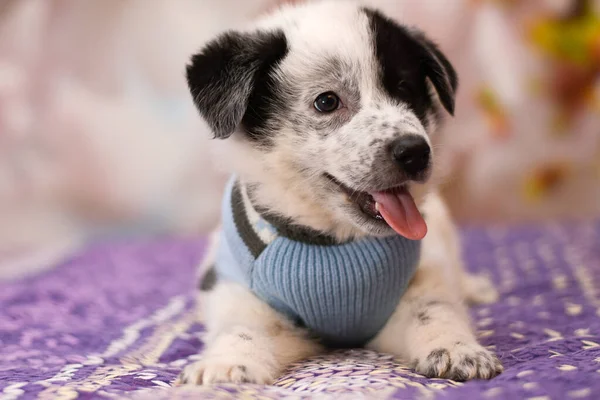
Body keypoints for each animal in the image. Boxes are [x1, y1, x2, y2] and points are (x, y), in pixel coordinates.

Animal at [177, 0, 502, 388]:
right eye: (327, 102)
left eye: (405, 89)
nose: (415, 152)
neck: (335, 240)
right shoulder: (244, 296)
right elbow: (241, 327)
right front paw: (228, 362)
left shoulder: (420, 281)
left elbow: (433, 310)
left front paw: (455, 347)